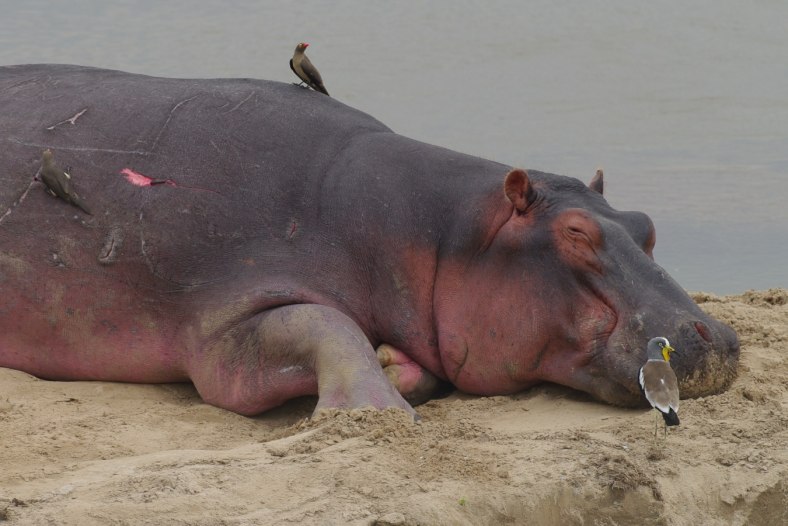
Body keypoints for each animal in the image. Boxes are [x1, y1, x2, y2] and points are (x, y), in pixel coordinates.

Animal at [0, 64, 738, 417]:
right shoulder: (226, 311)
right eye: (576, 234)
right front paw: (373, 410)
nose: (717, 338)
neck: (433, 228)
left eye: (645, 224)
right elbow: (323, 324)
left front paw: (395, 368)